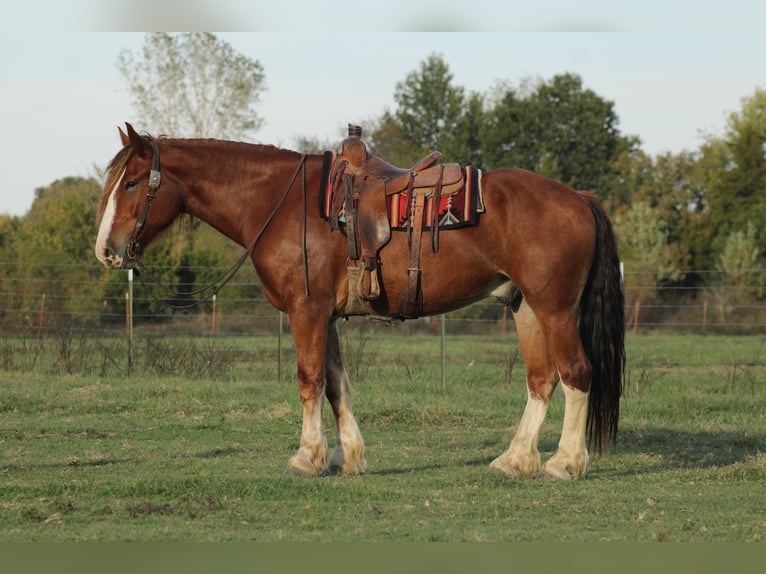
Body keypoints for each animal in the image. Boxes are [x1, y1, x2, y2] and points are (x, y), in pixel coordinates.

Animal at [95, 122, 624, 480]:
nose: (106, 250)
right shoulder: (326, 316)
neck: (280, 204)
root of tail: (578, 197)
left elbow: (309, 381)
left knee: (577, 373)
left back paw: (565, 463)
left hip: (554, 309)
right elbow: (335, 383)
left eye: (131, 183)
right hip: (525, 308)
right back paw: (515, 459)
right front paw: (345, 456)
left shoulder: (306, 311)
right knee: (542, 380)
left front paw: (306, 457)